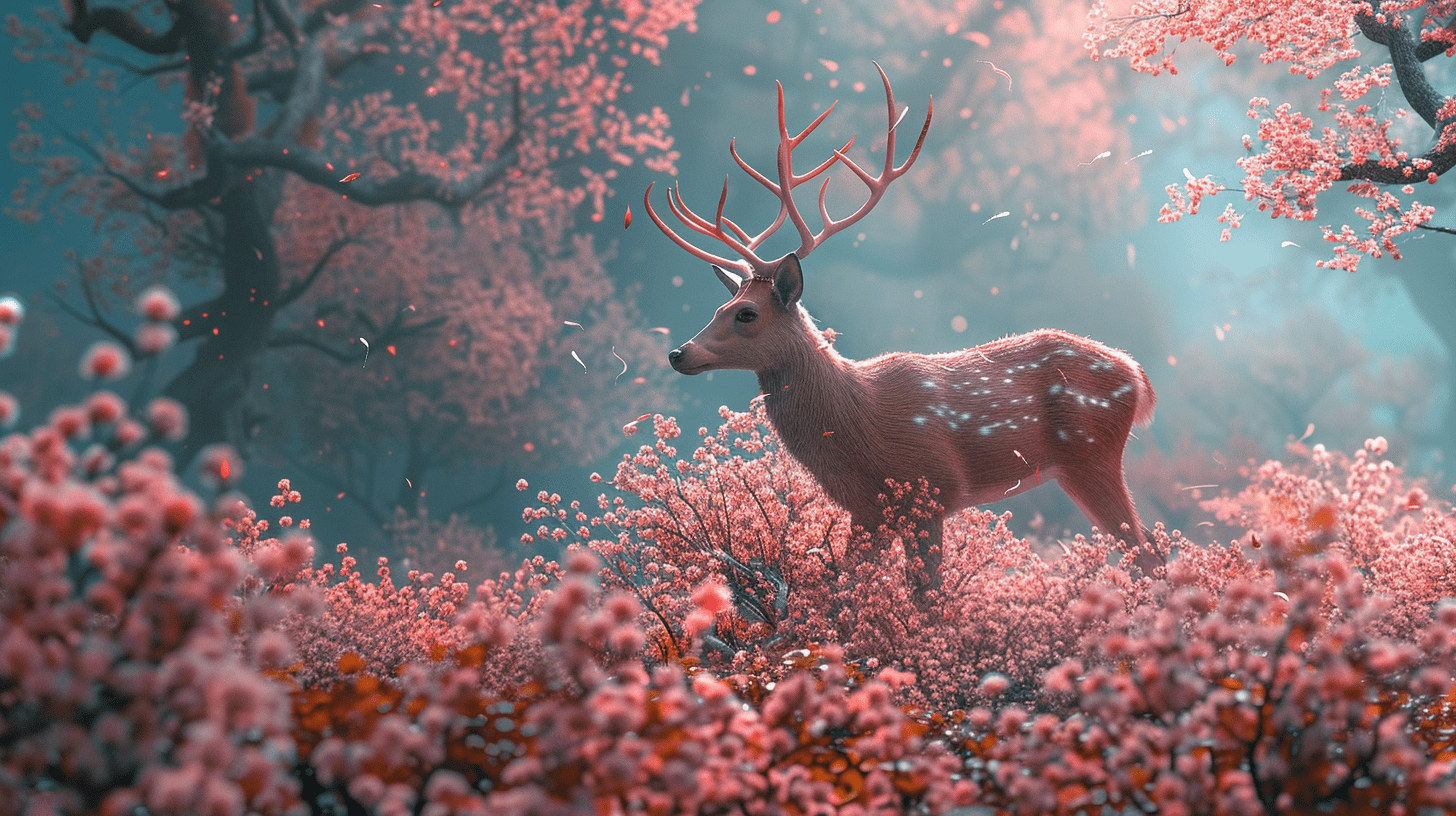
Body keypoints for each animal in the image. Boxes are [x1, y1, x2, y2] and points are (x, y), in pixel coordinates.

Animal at [643, 65, 1161, 589]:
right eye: (719, 306)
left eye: (746, 313)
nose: (678, 353)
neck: (859, 425)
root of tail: (1137, 377)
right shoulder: (867, 511)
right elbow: (845, 591)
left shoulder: (929, 491)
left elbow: (928, 596)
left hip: (1091, 455)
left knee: (1150, 555)